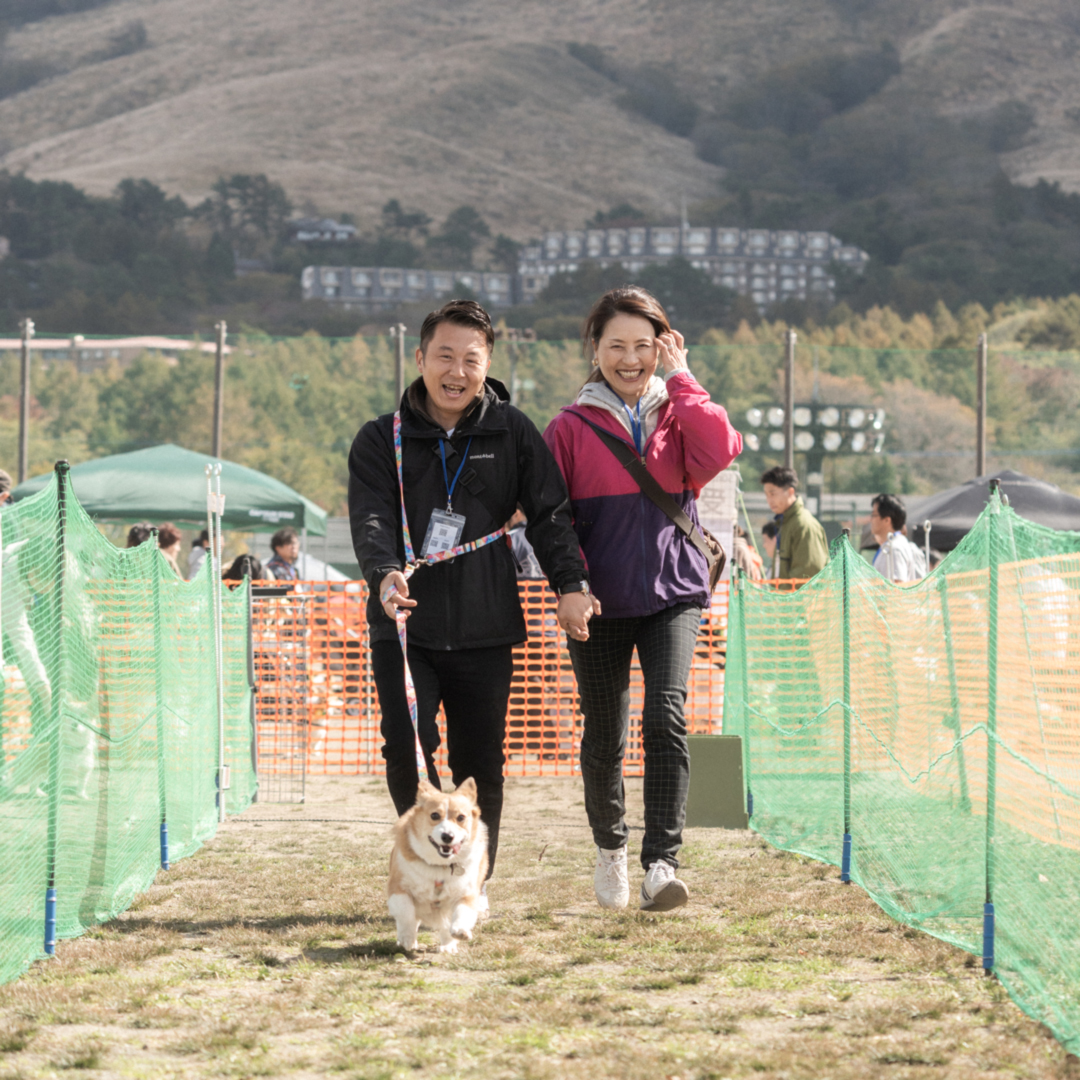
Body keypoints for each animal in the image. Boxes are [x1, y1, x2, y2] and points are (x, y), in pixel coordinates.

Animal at [388, 777, 490, 954]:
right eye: (434, 815)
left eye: (461, 817)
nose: (447, 836)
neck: (440, 866)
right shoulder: (397, 889)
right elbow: (406, 913)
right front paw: (407, 939)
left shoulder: (466, 893)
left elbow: (460, 913)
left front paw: (459, 933)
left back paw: (448, 945)